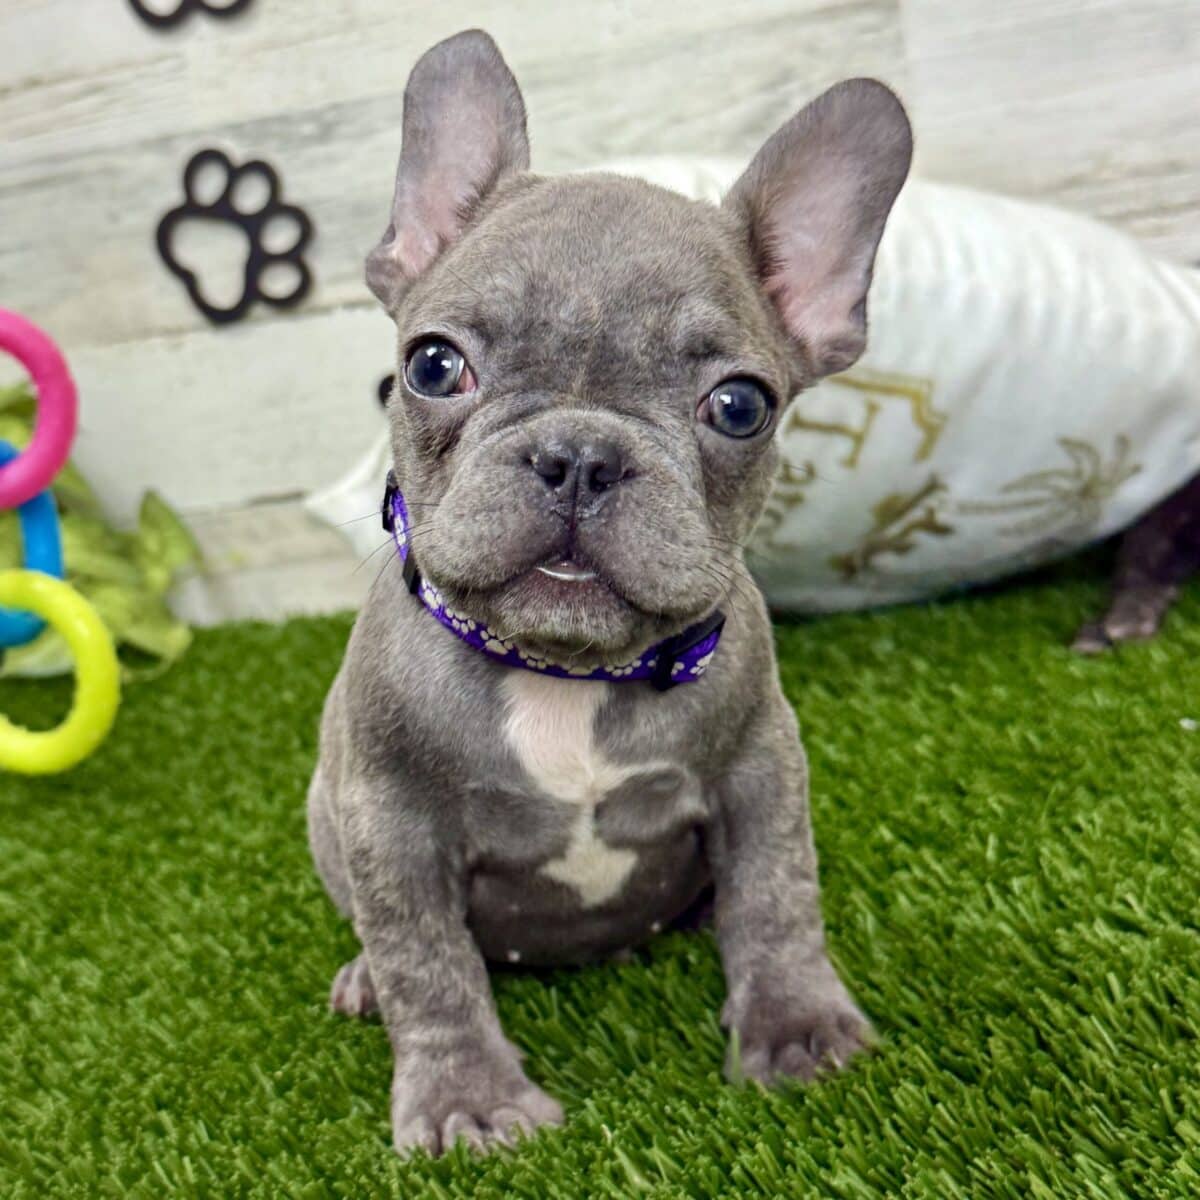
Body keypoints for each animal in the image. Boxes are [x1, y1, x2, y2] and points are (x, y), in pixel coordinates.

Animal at [308, 28, 912, 1156]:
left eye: (740, 405)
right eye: (434, 365)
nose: (581, 455)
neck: (563, 675)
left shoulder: (761, 770)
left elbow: (778, 897)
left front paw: (795, 1025)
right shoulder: (390, 823)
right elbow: (428, 963)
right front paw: (467, 1100)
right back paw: (364, 979)